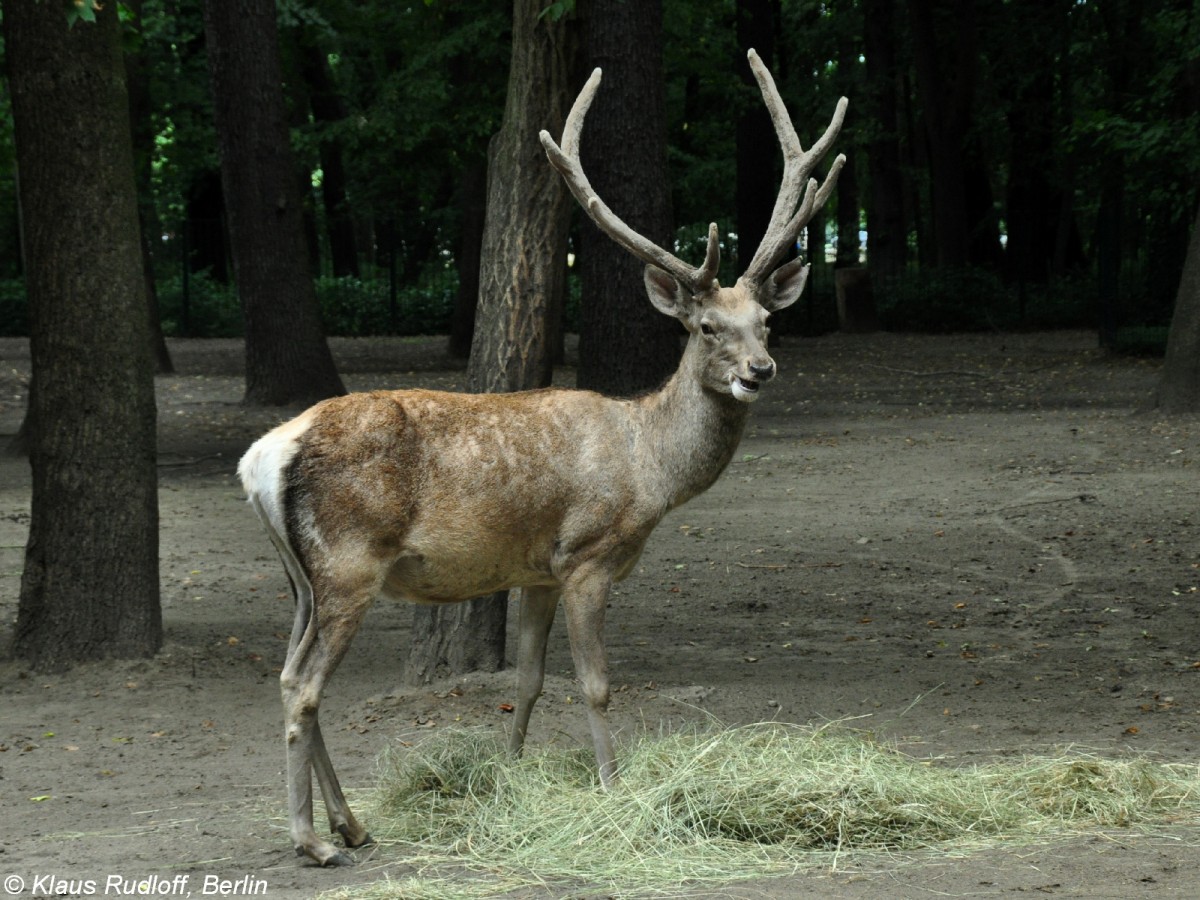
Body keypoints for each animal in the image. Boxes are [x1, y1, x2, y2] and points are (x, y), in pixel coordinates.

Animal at [238, 47, 849, 868]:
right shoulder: (588, 555)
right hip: (348, 561)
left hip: (299, 576)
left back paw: (353, 825)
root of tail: (262, 456)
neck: (647, 467)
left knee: (287, 675)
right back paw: (313, 840)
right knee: (303, 684)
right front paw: (615, 790)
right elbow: (594, 684)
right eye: (706, 327)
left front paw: (510, 775)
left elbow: (527, 679)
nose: (761, 370)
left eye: (767, 322)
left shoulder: (536, 569)